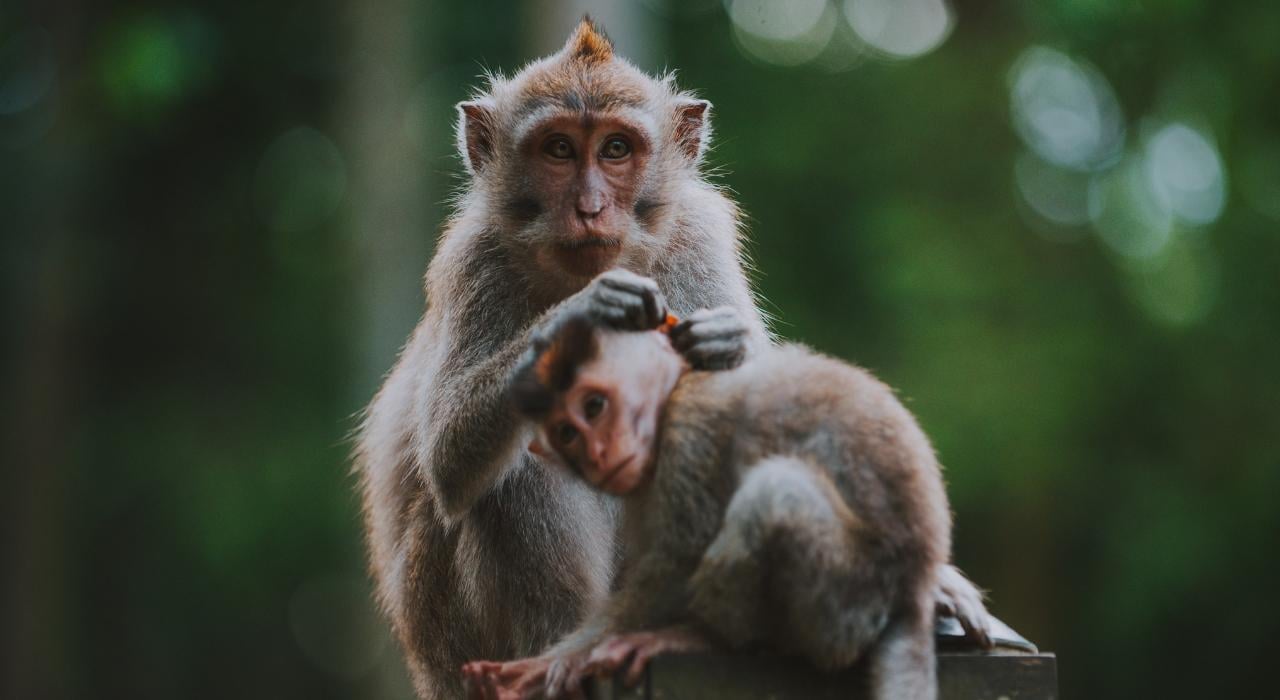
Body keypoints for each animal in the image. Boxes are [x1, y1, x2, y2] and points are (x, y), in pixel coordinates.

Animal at [465, 311, 955, 699]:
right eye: (567, 433)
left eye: (595, 405)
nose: (598, 454)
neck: (676, 393)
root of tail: (913, 588)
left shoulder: (689, 439)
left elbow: (676, 563)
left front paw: (556, 661)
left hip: (848, 603)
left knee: (773, 493)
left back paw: (706, 639)